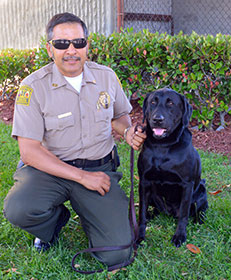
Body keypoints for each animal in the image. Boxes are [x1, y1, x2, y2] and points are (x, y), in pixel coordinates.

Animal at [138, 87, 208, 247]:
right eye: (152, 102)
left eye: (171, 103)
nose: (157, 119)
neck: (163, 145)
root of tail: (169, 212)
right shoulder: (144, 182)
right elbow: (141, 212)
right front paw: (139, 236)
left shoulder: (187, 184)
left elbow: (183, 213)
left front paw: (180, 236)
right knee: (154, 210)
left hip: (201, 190)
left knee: (200, 210)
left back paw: (199, 220)